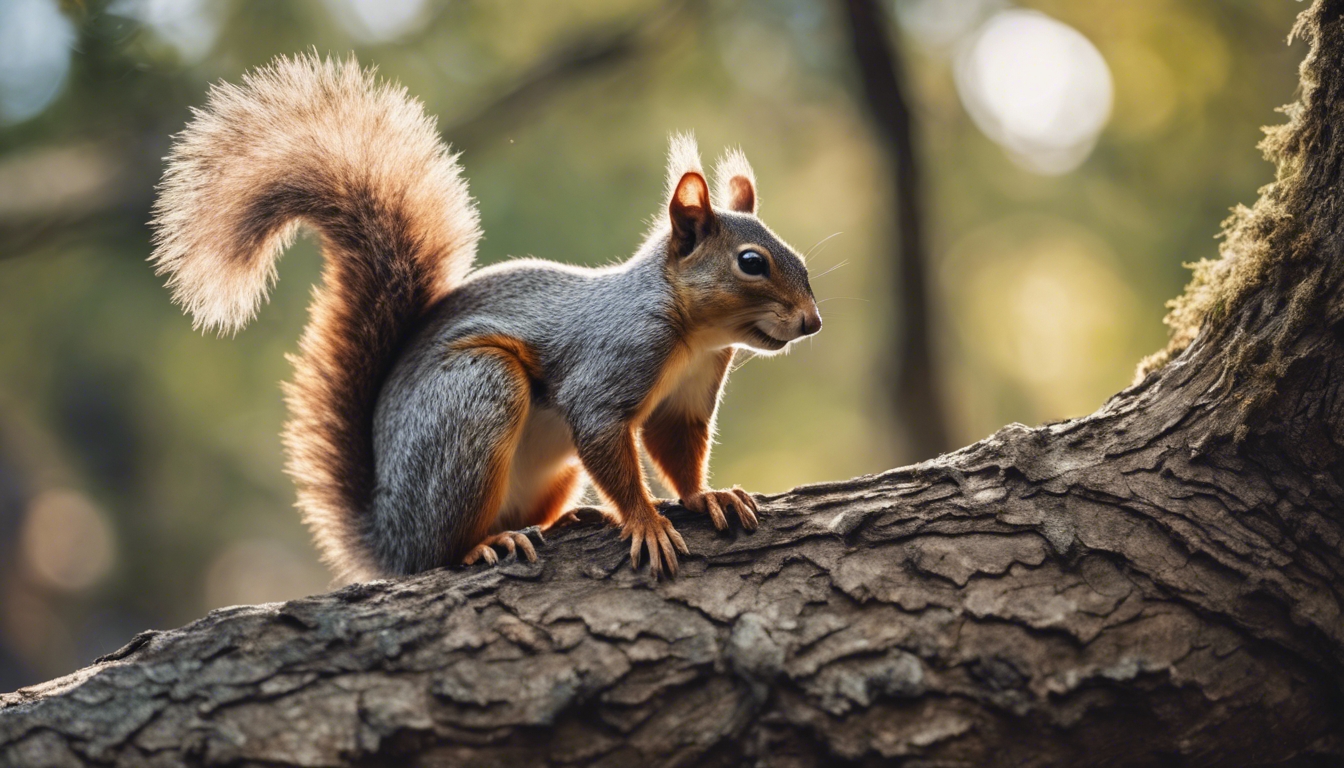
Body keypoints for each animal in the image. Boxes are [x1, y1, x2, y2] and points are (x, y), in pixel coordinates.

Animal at [149, 54, 822, 580]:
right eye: (752, 262)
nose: (812, 322)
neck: (693, 336)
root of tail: (390, 539)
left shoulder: (686, 397)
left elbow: (676, 449)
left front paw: (708, 497)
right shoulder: (612, 364)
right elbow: (604, 432)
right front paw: (645, 521)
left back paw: (570, 517)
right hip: (477, 397)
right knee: (441, 551)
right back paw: (482, 546)